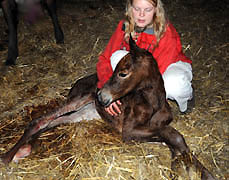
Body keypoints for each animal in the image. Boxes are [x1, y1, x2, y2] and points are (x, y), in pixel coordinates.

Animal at [0, 35, 216, 179]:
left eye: (123, 73)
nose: (101, 96)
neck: (153, 103)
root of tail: (75, 85)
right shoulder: (128, 132)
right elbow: (173, 137)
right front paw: (186, 168)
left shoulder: (154, 127)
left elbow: (172, 139)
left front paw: (193, 170)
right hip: (78, 100)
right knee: (40, 120)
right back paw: (8, 156)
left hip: (84, 113)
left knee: (53, 122)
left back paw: (24, 149)